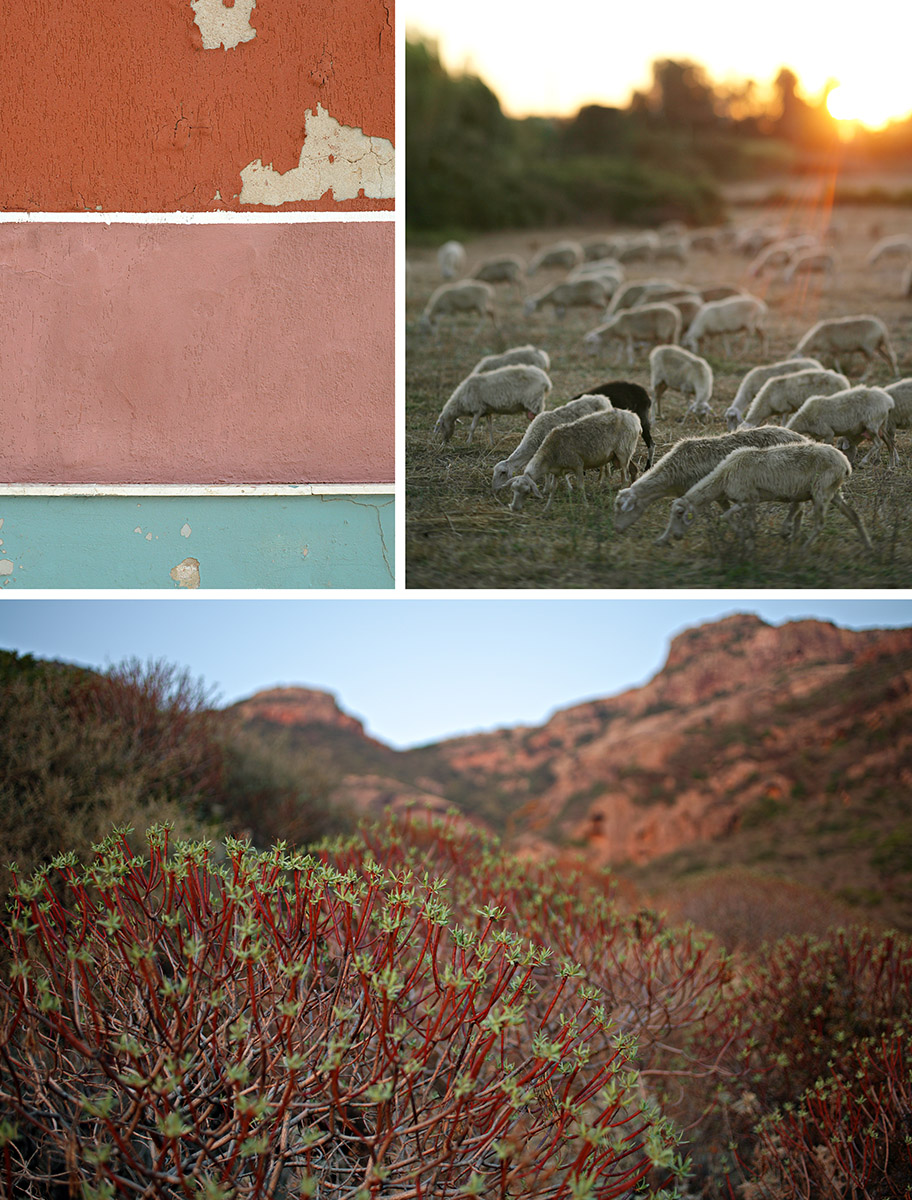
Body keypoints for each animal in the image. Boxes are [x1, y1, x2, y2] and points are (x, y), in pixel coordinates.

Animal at [506, 408, 643, 511]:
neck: (550, 453)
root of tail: (634, 417)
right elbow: (553, 490)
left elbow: (580, 487)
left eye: (527, 491)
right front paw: (547, 508)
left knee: (624, 478)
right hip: (622, 453)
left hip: (623, 452)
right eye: (513, 490)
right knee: (632, 470)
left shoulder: (578, 465)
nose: (514, 508)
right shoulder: (557, 471)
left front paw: (586, 506)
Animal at [657, 444, 868, 549]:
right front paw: (749, 542)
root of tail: (846, 463)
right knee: (853, 515)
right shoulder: (750, 503)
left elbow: (725, 516)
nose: (675, 537)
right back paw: (868, 546)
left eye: (679, 514)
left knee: (820, 524)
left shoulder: (747, 498)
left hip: (821, 490)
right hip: (833, 491)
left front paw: (744, 538)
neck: (723, 477)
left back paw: (804, 549)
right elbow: (749, 523)